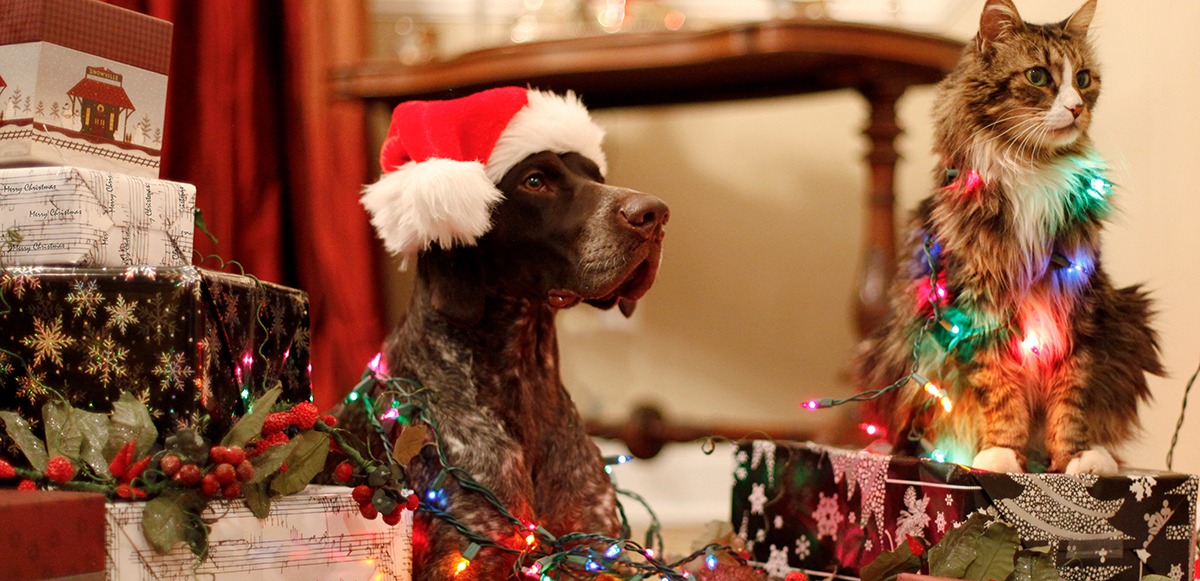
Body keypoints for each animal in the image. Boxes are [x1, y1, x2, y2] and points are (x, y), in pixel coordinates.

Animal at [343, 87, 672, 581]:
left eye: (596, 176)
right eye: (535, 181)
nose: (655, 214)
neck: (524, 374)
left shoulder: (596, 550)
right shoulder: (466, 557)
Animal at [849, 0, 1156, 475]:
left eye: (1084, 79)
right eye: (1038, 77)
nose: (1075, 108)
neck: (1031, 167)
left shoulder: (1076, 303)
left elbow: (1072, 397)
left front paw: (1075, 457)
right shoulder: (978, 305)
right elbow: (1000, 389)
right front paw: (1002, 454)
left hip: (1129, 319)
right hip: (893, 351)